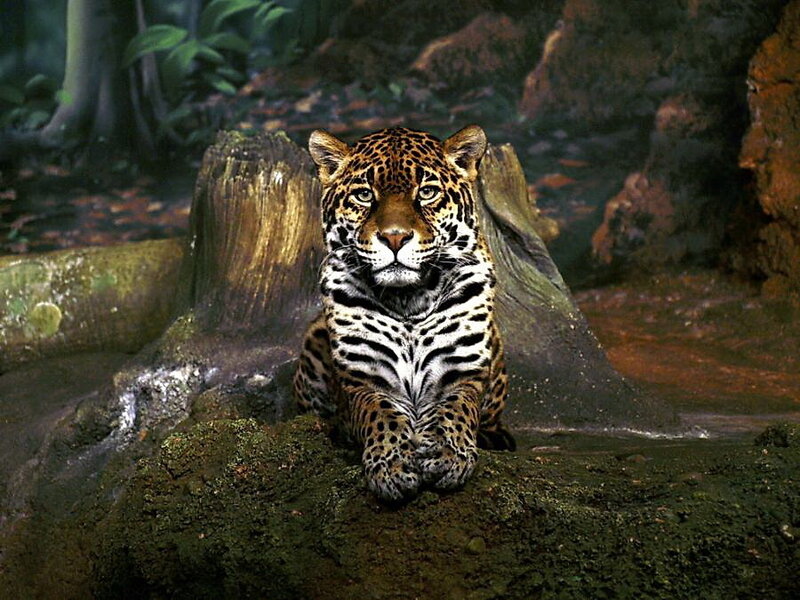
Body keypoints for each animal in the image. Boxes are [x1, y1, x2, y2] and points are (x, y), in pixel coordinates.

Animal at [293, 125, 515, 502]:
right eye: (364, 195)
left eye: (426, 192)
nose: (394, 238)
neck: (409, 299)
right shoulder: (363, 377)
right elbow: (379, 413)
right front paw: (392, 466)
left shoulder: (461, 370)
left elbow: (455, 409)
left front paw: (447, 454)